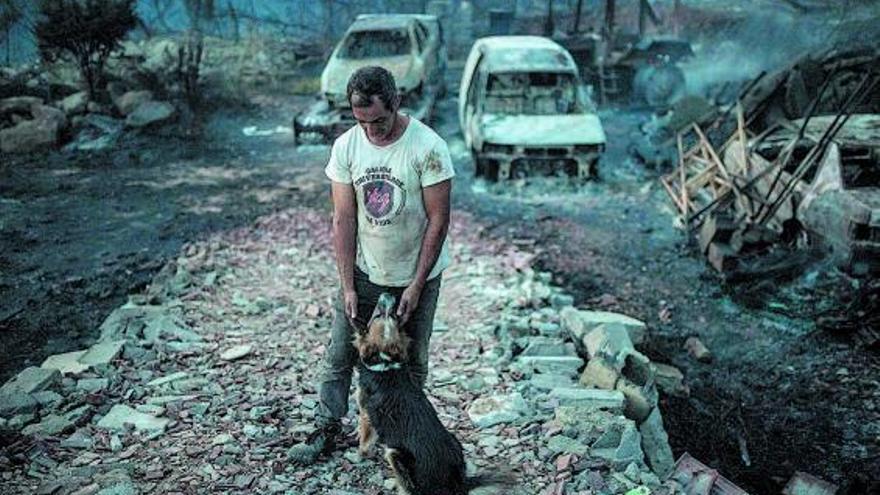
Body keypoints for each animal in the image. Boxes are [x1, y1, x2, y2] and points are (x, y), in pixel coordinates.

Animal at [352, 294, 516, 495]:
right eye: (394, 318)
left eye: (381, 315)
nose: (389, 295)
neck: (385, 361)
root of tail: (459, 483)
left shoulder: (366, 414)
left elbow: (365, 440)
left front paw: (360, 455)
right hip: (454, 441)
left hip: (395, 455)